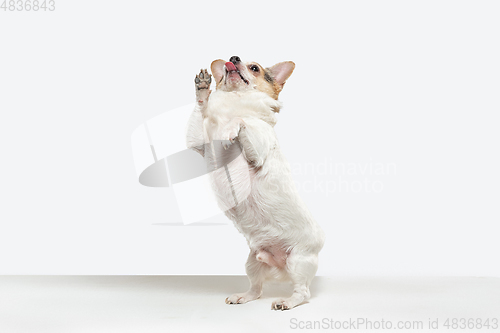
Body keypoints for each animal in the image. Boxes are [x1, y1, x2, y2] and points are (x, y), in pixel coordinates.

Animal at [186, 55, 326, 308]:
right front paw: (202, 88)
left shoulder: (257, 148)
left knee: (303, 292)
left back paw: (287, 302)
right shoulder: (198, 142)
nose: (234, 58)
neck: (235, 101)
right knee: (257, 289)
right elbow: (202, 108)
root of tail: (280, 267)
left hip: (298, 261)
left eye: (255, 68)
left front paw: (232, 128)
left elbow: (243, 119)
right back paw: (243, 296)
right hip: (253, 261)